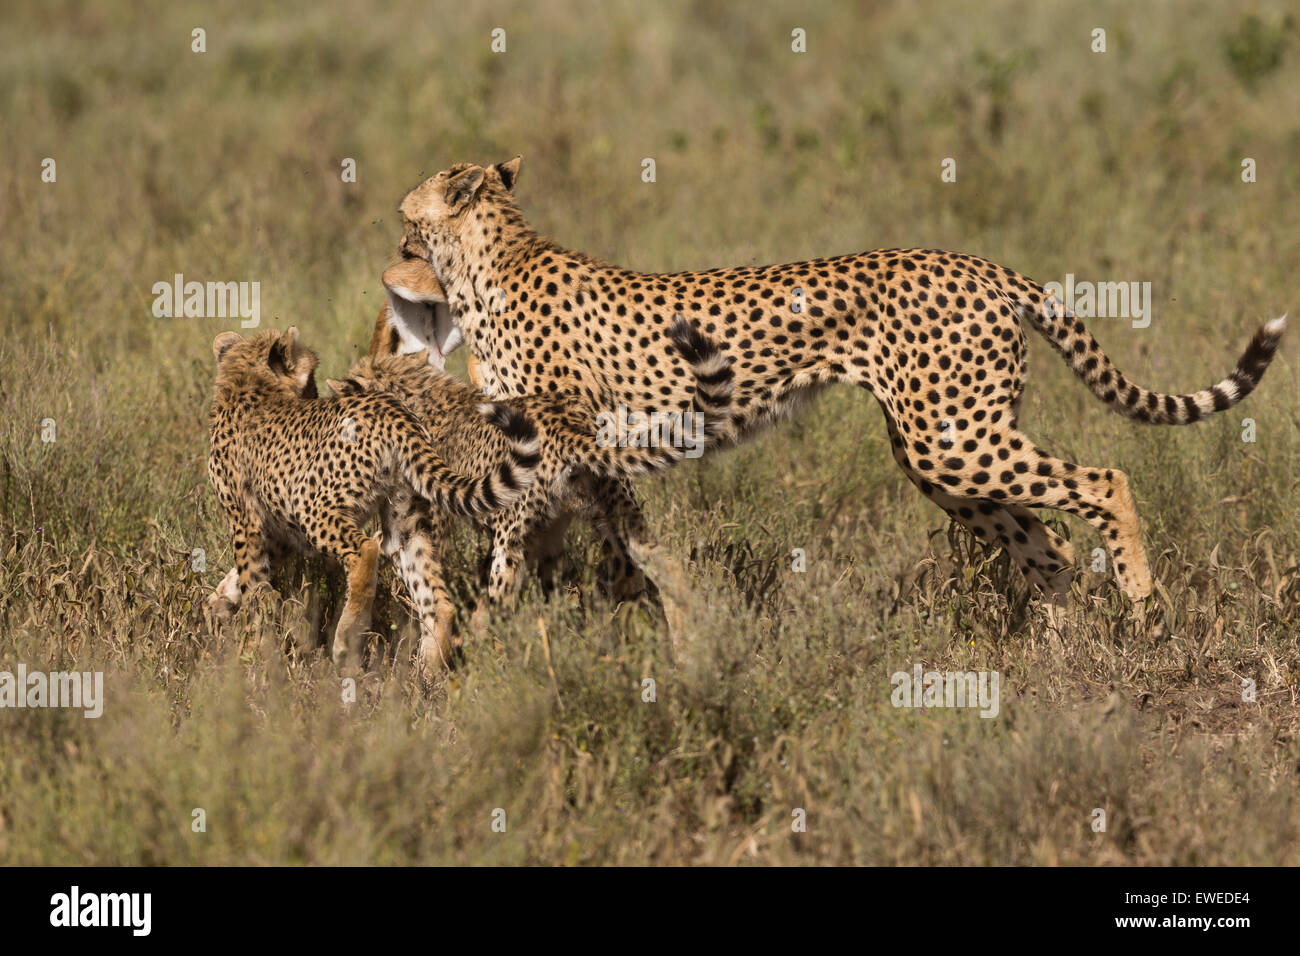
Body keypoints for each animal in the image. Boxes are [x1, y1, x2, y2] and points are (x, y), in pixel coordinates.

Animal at [395, 157, 1289, 621]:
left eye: (407, 221)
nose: (393, 250)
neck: (489, 261)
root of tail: (980, 264)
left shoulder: (553, 443)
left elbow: (520, 543)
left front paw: (489, 632)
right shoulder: (587, 457)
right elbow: (620, 545)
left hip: (953, 440)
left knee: (1104, 481)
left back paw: (1136, 592)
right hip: (942, 451)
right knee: (1050, 544)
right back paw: (1055, 650)